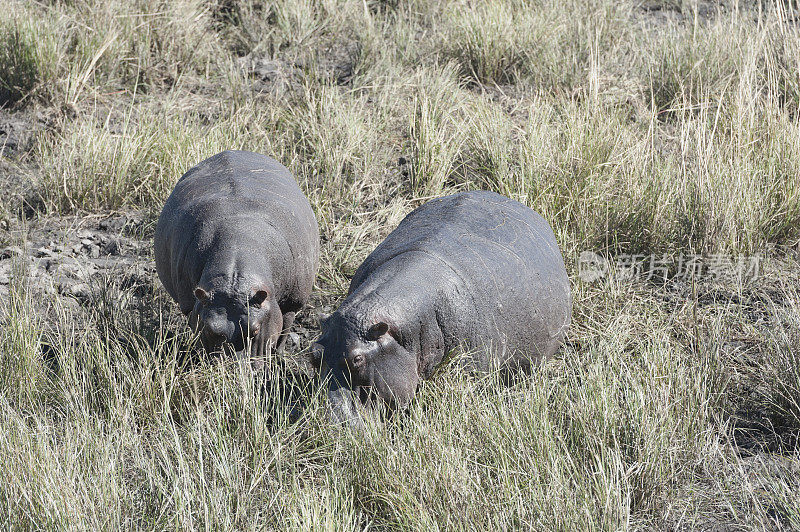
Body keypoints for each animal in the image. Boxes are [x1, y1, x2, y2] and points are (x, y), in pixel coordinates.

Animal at [153, 152, 318, 364]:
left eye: (255, 330)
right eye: (211, 329)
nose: (235, 367)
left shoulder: (292, 303)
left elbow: (284, 329)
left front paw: (279, 357)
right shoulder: (192, 306)